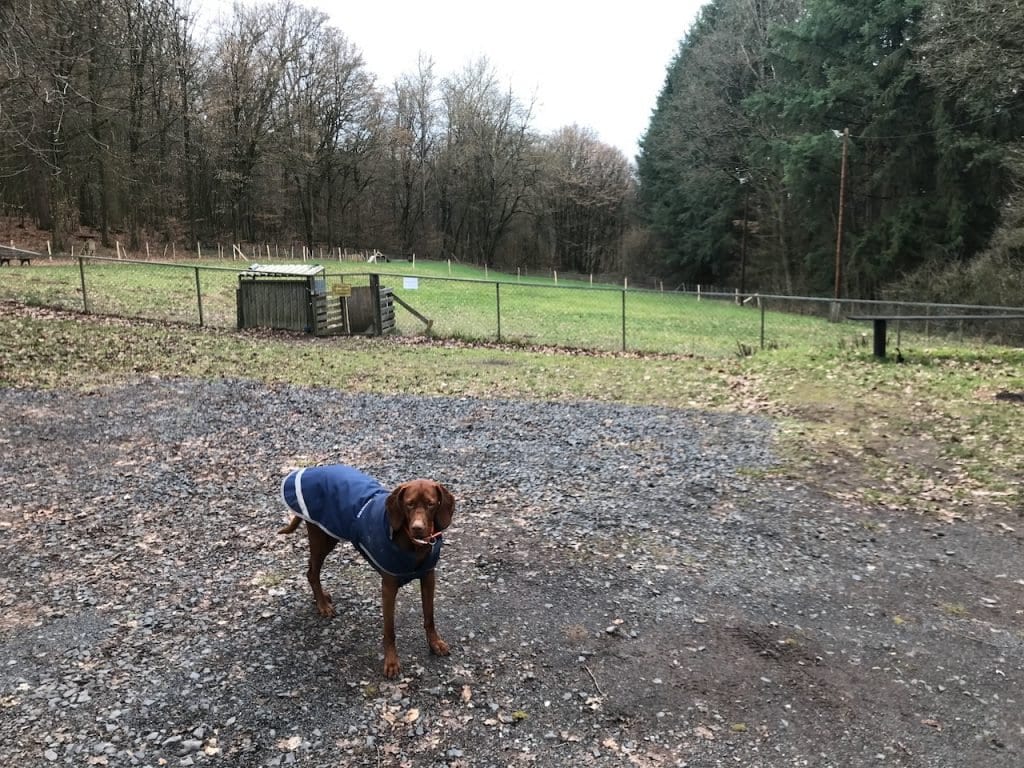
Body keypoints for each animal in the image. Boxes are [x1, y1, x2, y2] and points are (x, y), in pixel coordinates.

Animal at [280, 462, 456, 679]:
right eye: (409, 504)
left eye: (431, 504)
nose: (417, 528)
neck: (414, 546)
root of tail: (312, 469)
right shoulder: (388, 587)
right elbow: (389, 630)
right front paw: (391, 662)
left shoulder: (428, 577)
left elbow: (429, 617)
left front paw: (435, 643)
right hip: (322, 537)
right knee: (311, 571)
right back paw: (322, 605)